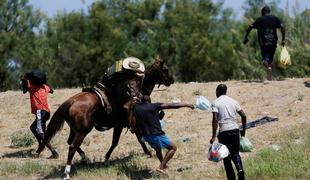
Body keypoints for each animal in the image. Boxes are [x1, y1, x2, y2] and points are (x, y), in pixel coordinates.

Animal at [40, 58, 174, 179]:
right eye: (166, 69)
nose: (171, 80)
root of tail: (71, 101)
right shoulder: (129, 125)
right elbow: (131, 140)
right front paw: (148, 153)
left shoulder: (120, 125)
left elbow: (121, 141)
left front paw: (106, 158)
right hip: (83, 131)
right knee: (72, 146)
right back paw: (67, 173)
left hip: (75, 129)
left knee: (70, 142)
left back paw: (85, 158)